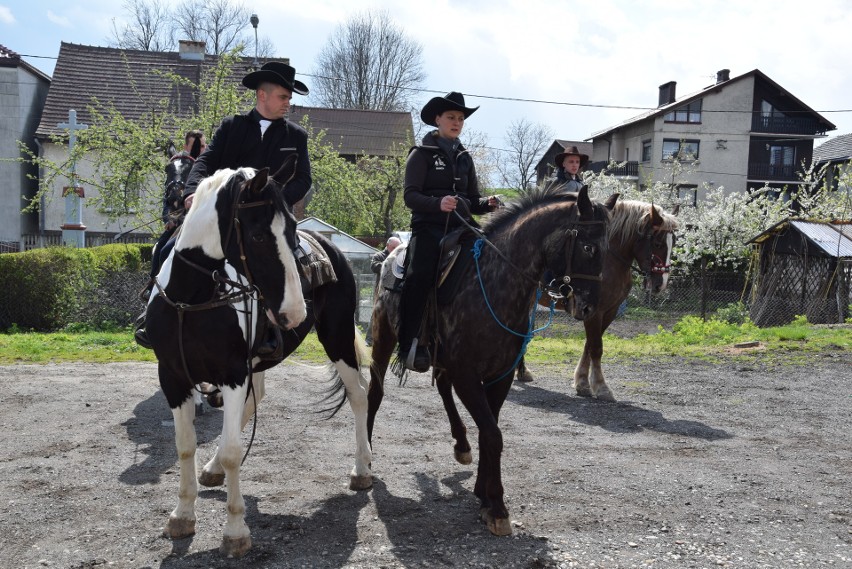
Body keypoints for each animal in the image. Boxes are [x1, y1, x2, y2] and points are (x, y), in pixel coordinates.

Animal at [146, 163, 372, 556]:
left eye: (292, 231)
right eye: (258, 236)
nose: (294, 312)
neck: (192, 300)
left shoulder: (232, 373)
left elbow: (234, 451)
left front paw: (235, 532)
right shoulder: (173, 377)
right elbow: (185, 445)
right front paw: (182, 515)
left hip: (338, 338)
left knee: (358, 394)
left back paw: (362, 471)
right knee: (256, 400)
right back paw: (212, 468)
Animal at [364, 184, 612, 536]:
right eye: (589, 247)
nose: (589, 308)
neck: (496, 285)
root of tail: (391, 256)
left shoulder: (500, 374)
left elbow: (488, 429)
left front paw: (483, 493)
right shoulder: (468, 374)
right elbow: (493, 433)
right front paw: (496, 505)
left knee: (442, 387)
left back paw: (461, 445)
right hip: (384, 339)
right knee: (375, 393)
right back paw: (364, 464)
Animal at [512, 200, 680, 400]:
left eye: (673, 243)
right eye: (657, 243)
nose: (661, 284)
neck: (610, 261)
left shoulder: (607, 311)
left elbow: (590, 344)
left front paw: (582, 382)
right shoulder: (594, 311)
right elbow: (596, 347)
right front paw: (600, 386)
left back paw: (521, 371)